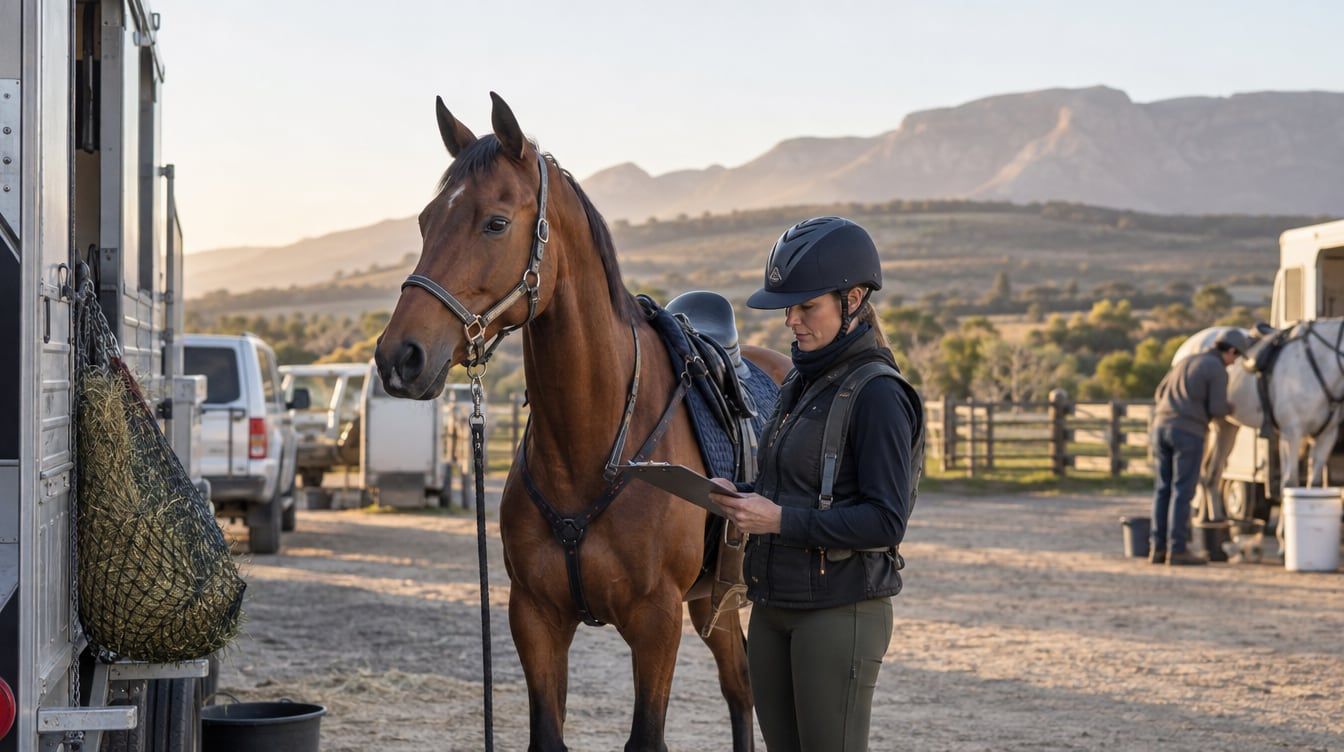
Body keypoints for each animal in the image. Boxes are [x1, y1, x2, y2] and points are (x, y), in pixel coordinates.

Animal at [375, 92, 791, 752]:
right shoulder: (535, 617)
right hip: (715, 600)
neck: (591, 449)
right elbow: (547, 733)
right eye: (424, 221)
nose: (400, 357)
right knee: (740, 685)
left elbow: (647, 737)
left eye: (496, 222)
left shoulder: (655, 623)